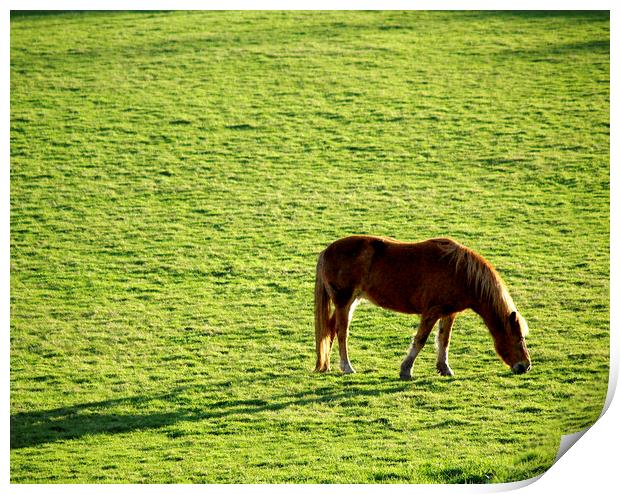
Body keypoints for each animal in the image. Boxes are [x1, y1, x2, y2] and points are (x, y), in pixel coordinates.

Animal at [318, 235, 532, 378]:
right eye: (519, 338)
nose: (526, 366)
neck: (460, 271)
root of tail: (326, 251)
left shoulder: (449, 313)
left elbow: (444, 340)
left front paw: (444, 368)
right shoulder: (431, 312)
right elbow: (420, 340)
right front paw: (406, 370)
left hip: (348, 303)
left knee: (330, 330)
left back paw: (326, 365)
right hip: (344, 302)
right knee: (341, 333)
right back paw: (347, 367)